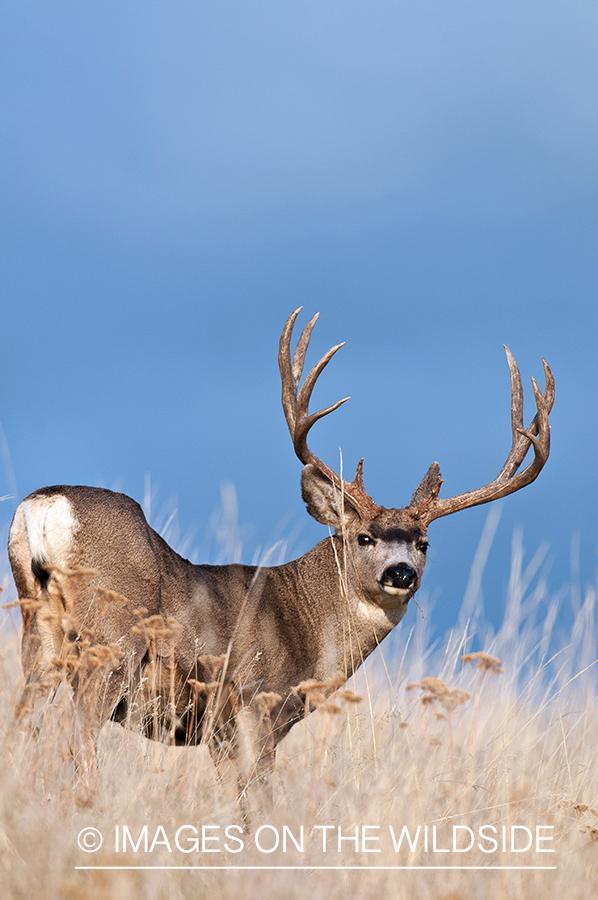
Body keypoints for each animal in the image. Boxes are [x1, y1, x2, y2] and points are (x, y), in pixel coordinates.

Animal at [8, 308, 553, 808]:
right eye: (364, 538)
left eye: (424, 543)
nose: (401, 573)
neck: (302, 624)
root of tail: (44, 504)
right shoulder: (254, 706)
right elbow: (261, 803)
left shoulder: (221, 734)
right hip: (112, 641)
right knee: (78, 735)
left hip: (39, 634)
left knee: (22, 726)